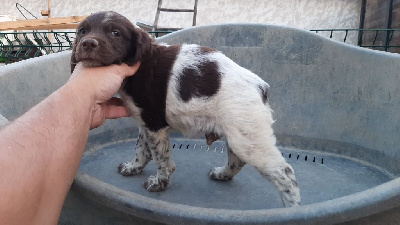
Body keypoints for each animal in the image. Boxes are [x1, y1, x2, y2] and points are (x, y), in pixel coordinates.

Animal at [71, 11, 300, 207]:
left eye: (115, 33)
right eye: (82, 30)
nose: (87, 43)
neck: (140, 65)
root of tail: (260, 86)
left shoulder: (155, 125)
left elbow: (162, 159)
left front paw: (159, 183)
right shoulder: (146, 123)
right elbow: (141, 149)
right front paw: (133, 167)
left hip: (249, 140)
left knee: (285, 173)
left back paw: (291, 208)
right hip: (238, 134)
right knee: (237, 161)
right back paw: (222, 174)